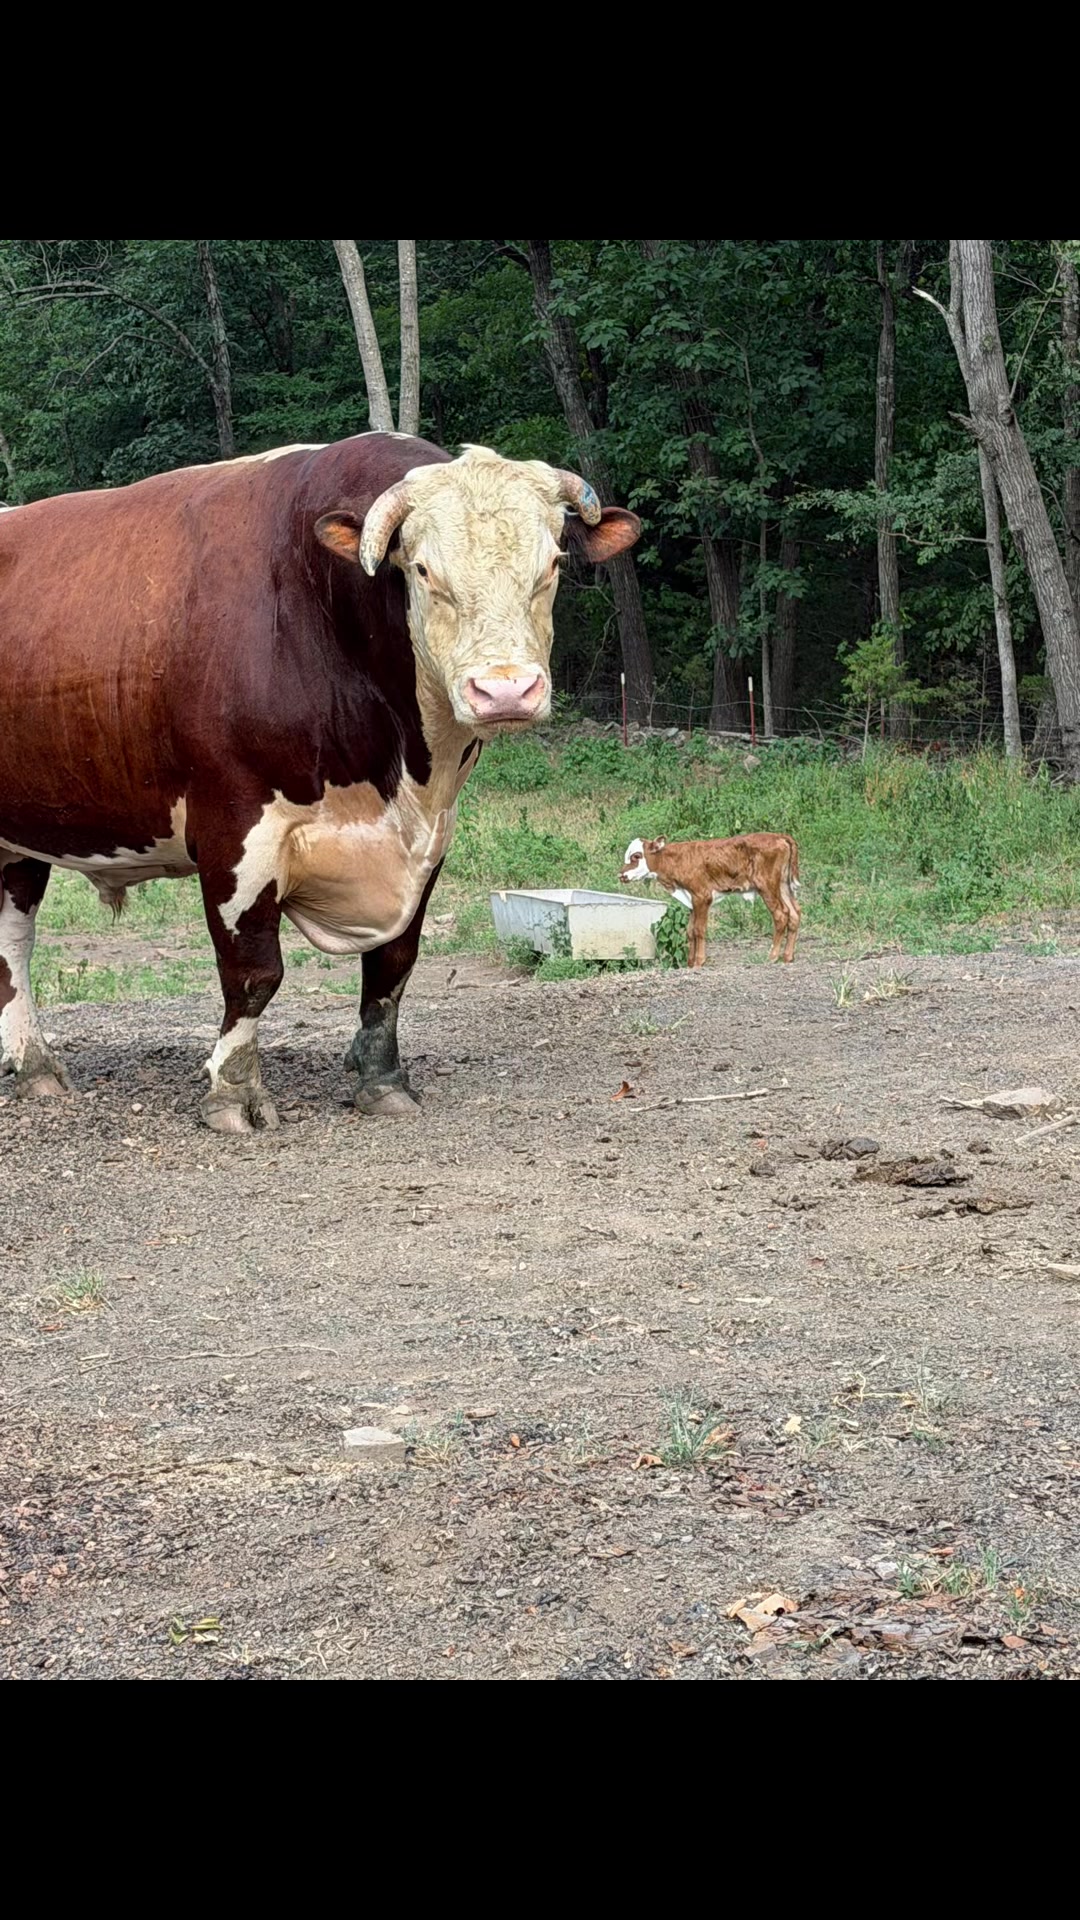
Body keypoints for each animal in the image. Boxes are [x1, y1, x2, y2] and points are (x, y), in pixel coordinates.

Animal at [0, 435, 641, 1131]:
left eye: (552, 563)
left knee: (13, 942)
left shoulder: (430, 838)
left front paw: (382, 1080)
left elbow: (392, 967)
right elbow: (253, 973)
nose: (504, 691)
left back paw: (34, 1067)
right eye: (422, 570)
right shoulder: (236, 830)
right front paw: (233, 1092)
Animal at [620, 832, 801, 966]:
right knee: (795, 913)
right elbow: (690, 931)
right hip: (783, 885)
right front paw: (690, 962)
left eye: (636, 856)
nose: (621, 875)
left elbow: (699, 929)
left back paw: (773, 956)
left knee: (781, 915)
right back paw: (788, 956)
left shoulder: (702, 896)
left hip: (767, 885)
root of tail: (779, 836)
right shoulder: (691, 899)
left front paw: (699, 961)